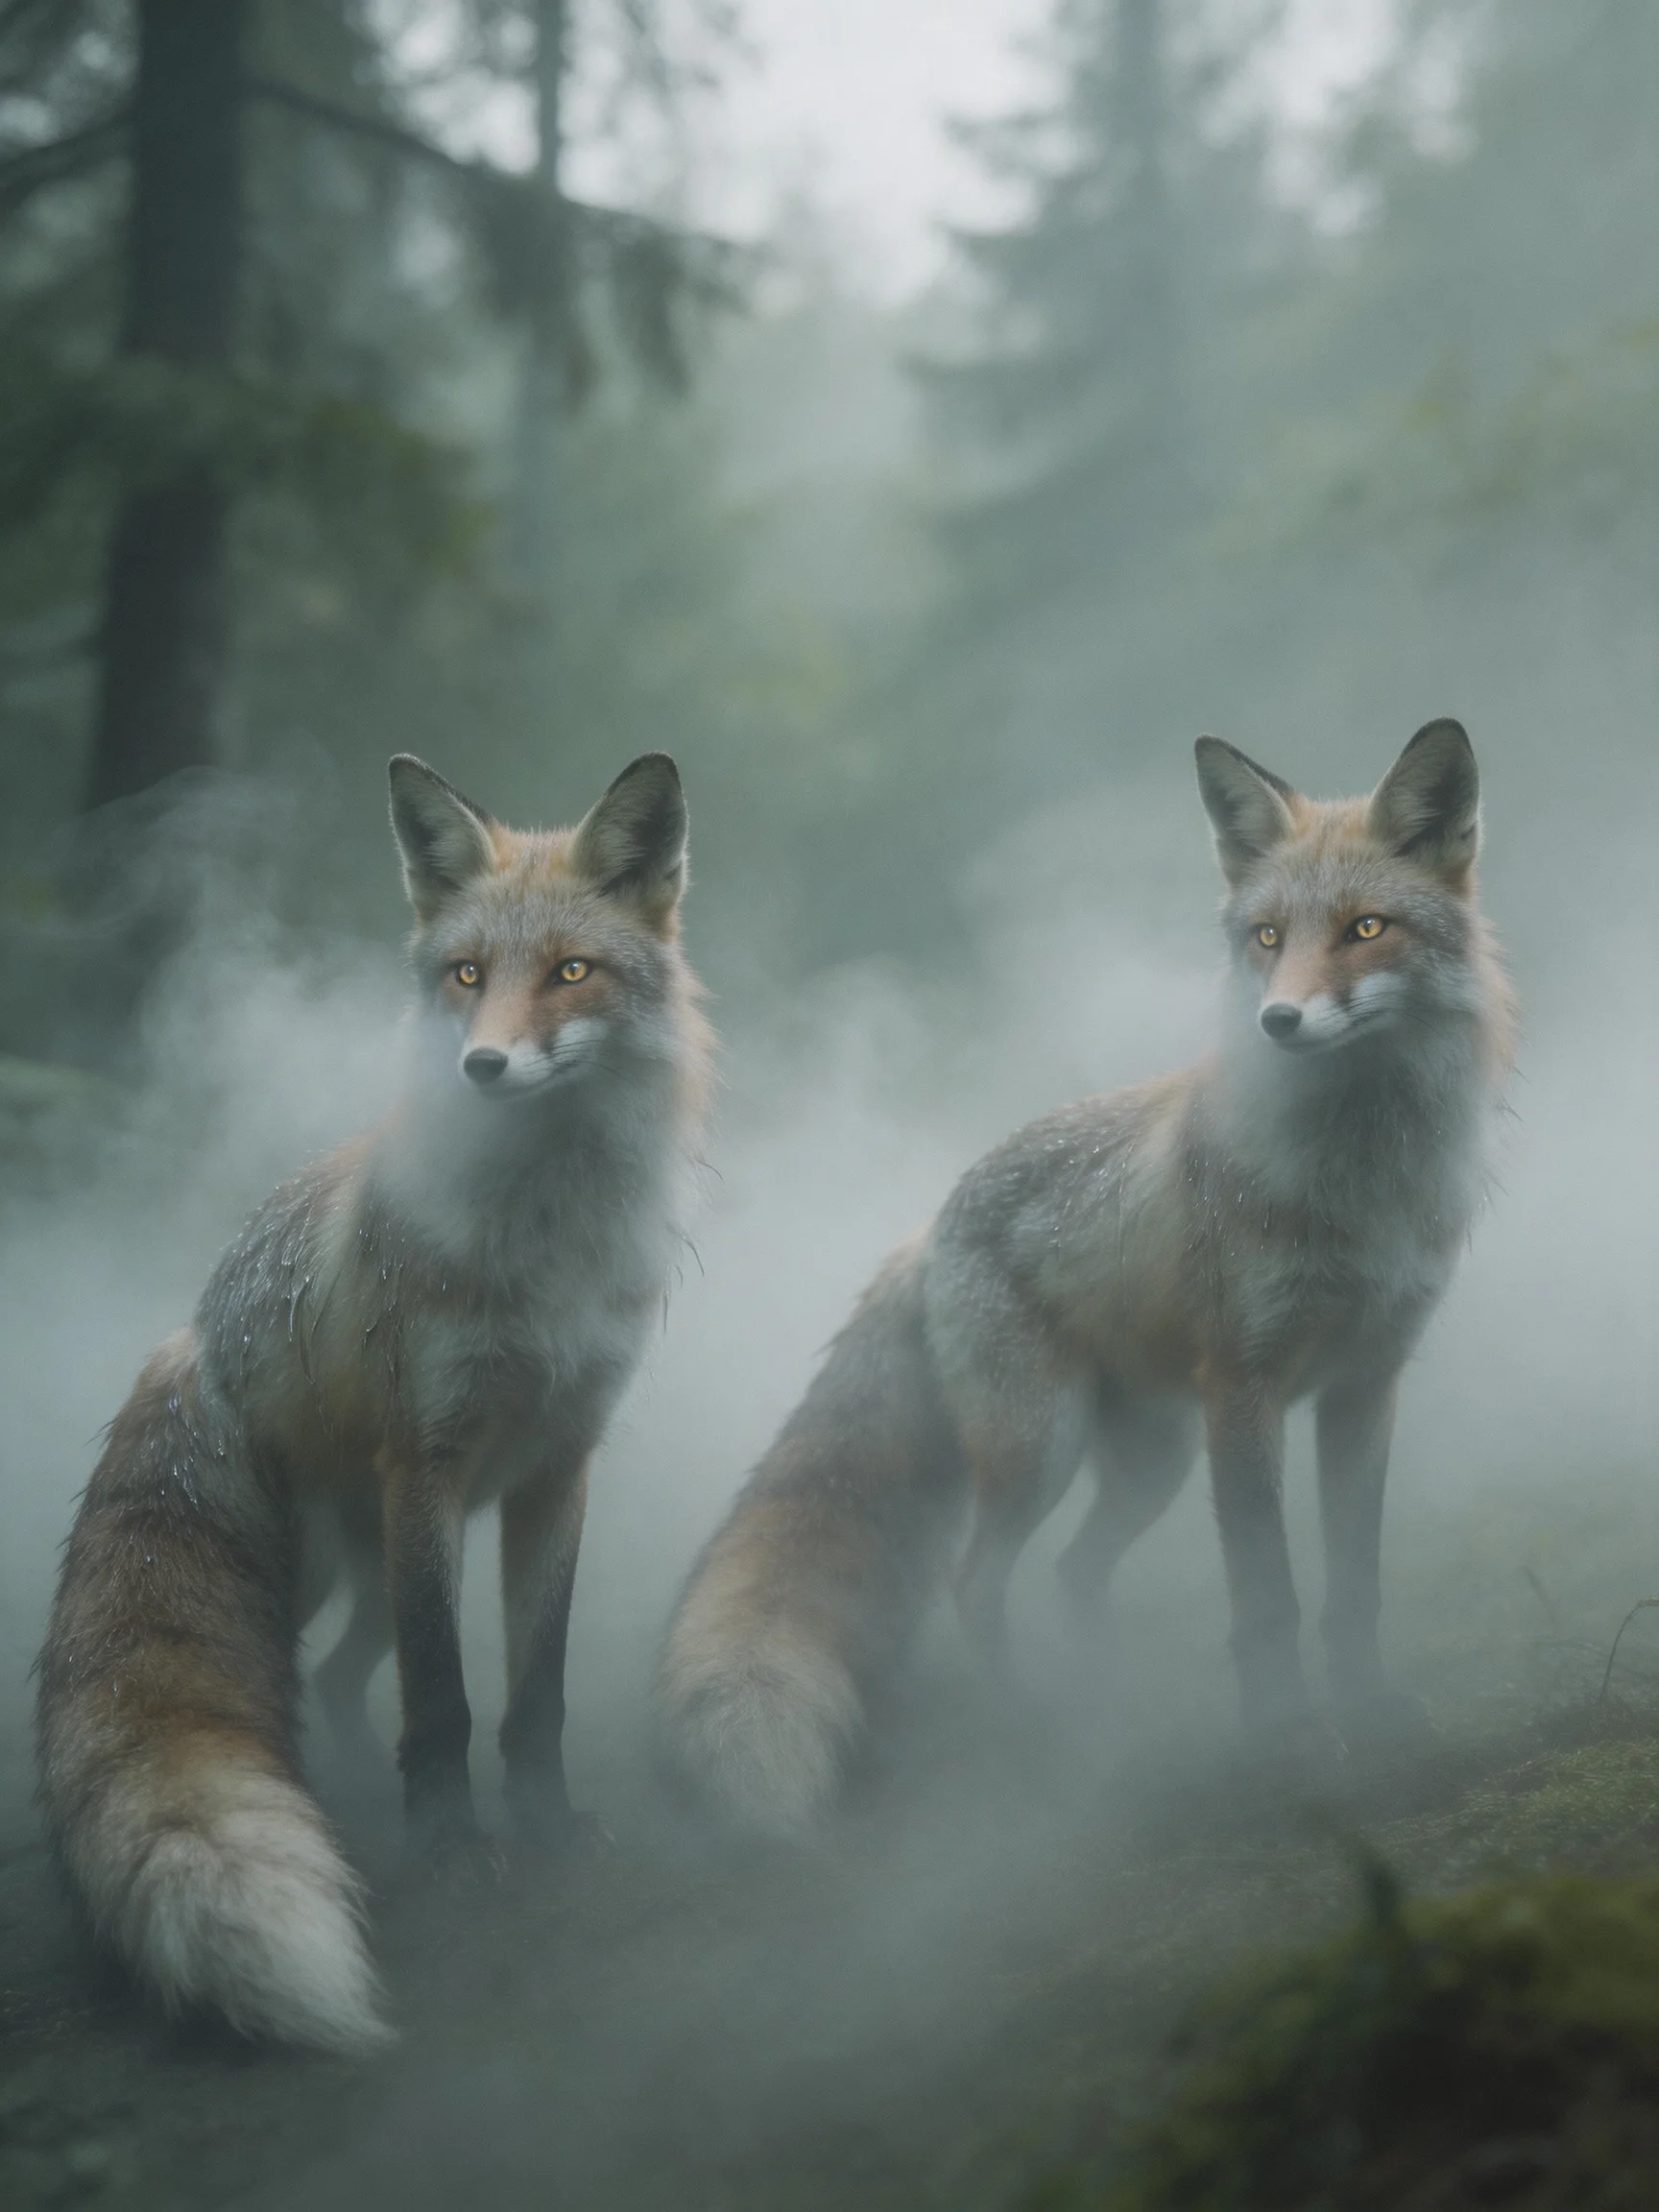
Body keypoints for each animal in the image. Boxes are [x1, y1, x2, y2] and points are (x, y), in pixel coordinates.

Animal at [35, 750, 712, 2052]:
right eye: (465, 975)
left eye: (571, 972)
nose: (481, 1066)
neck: (544, 1248)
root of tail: (192, 1339)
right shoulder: (431, 1463)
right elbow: (445, 1699)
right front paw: (452, 1853)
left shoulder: (558, 1464)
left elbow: (534, 1692)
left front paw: (547, 1831)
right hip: (315, 1568)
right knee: (340, 1678)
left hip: (364, 1563)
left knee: (346, 1679)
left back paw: (350, 1777)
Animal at [657, 719, 1515, 1837]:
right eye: (1267, 939)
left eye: (1366, 927)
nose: (1279, 1023)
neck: (1358, 1182)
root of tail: (927, 1231)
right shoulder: (1246, 1390)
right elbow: (1267, 1599)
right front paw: (1289, 1740)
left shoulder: (1365, 1386)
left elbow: (1352, 1586)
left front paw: (1369, 1710)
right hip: (1045, 1449)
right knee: (979, 1583)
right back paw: (1041, 1722)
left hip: (1154, 1458)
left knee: (1072, 1574)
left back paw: (1104, 1704)